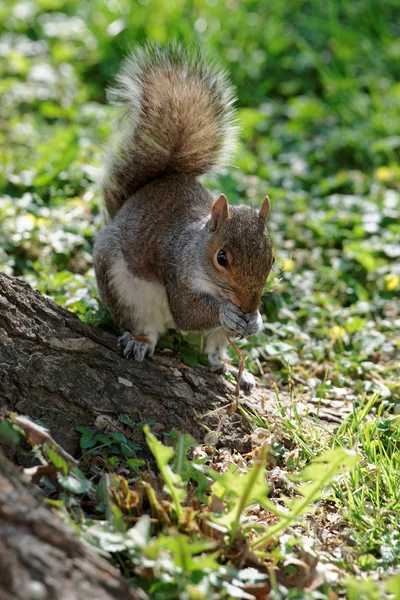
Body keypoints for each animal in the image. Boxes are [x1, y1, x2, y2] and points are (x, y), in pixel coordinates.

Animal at [94, 43, 276, 384]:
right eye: (221, 258)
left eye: (271, 259)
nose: (248, 307)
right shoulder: (175, 268)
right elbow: (188, 314)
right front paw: (226, 312)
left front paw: (256, 320)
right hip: (121, 287)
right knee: (145, 325)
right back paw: (140, 341)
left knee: (213, 349)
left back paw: (229, 367)